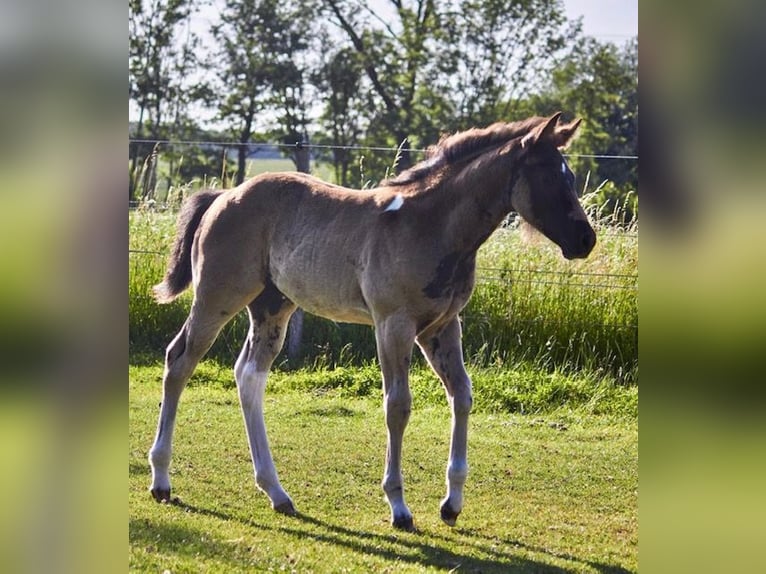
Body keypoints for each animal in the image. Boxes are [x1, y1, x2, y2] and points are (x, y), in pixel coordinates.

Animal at [147, 112, 596, 531]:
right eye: (550, 177)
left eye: (571, 176)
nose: (585, 240)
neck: (433, 225)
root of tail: (225, 194)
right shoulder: (393, 324)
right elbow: (398, 405)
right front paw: (399, 506)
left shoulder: (443, 326)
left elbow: (462, 396)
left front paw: (452, 503)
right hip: (217, 298)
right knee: (179, 360)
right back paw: (161, 480)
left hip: (272, 307)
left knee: (249, 375)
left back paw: (276, 492)